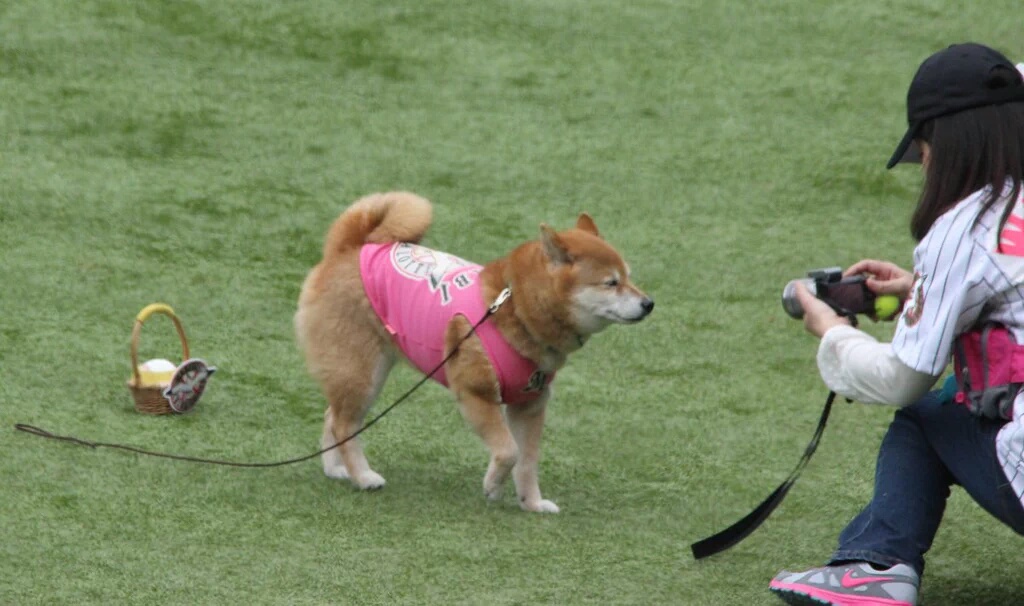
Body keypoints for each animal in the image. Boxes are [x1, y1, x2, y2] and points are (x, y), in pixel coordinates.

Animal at [295, 192, 653, 512]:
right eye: (611, 283)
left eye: (629, 277)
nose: (649, 304)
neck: (516, 308)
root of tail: (351, 247)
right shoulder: (476, 394)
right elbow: (509, 451)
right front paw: (493, 486)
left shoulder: (530, 405)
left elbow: (527, 462)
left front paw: (531, 503)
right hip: (363, 372)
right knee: (344, 424)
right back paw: (363, 477)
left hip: (362, 372)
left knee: (334, 416)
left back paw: (335, 469)